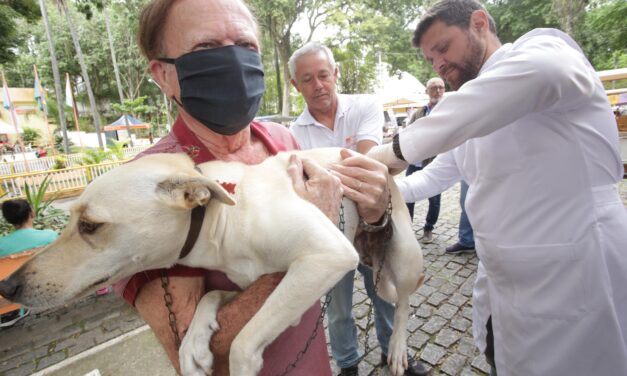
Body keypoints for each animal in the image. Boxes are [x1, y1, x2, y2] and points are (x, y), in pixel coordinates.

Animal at [0, 149, 424, 376]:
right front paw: (193, 344)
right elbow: (211, 297)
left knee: (403, 305)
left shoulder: (325, 254)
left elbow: (242, 341)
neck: (221, 220)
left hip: (406, 260)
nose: (8, 286)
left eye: (90, 225)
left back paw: (399, 348)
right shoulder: (252, 282)